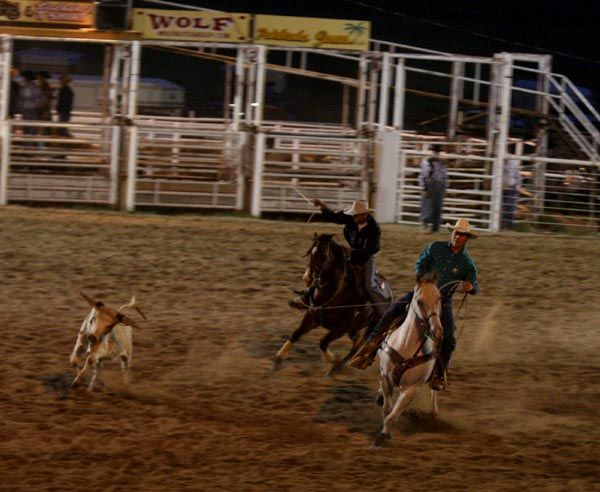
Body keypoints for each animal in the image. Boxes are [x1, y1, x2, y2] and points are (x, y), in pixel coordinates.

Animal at [274, 233, 394, 374]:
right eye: (310, 253)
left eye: (324, 254)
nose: (307, 278)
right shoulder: (311, 317)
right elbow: (295, 334)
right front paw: (278, 358)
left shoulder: (341, 327)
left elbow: (323, 342)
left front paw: (334, 360)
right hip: (354, 329)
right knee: (356, 340)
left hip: (371, 326)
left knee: (358, 346)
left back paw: (337, 368)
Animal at [372, 272, 442, 450]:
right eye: (419, 301)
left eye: (439, 298)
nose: (437, 331)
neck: (406, 345)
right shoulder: (386, 377)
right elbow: (387, 409)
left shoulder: (411, 389)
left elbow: (393, 414)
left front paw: (383, 435)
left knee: (434, 390)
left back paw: (433, 412)